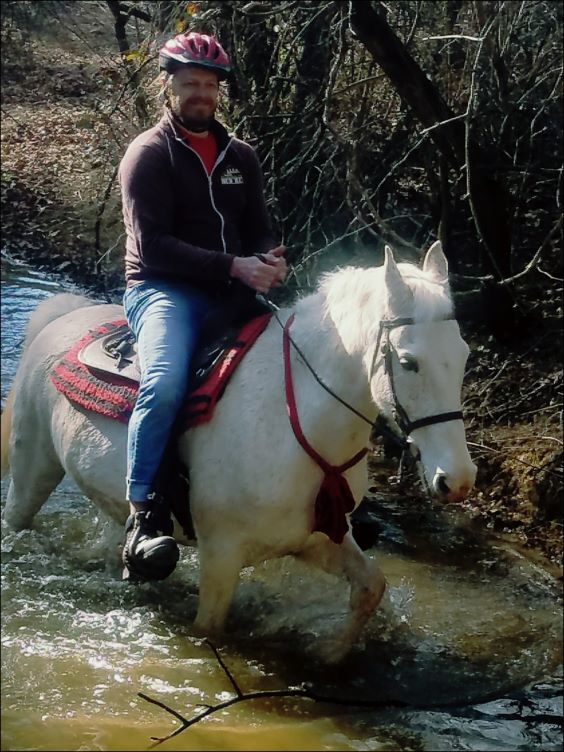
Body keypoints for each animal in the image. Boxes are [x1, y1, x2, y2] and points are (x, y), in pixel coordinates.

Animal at [0, 244, 476, 660]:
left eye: (464, 354)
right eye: (409, 362)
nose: (457, 480)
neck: (292, 422)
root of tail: (63, 315)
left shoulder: (318, 538)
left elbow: (371, 587)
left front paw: (327, 654)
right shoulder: (221, 556)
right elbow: (210, 629)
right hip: (32, 468)